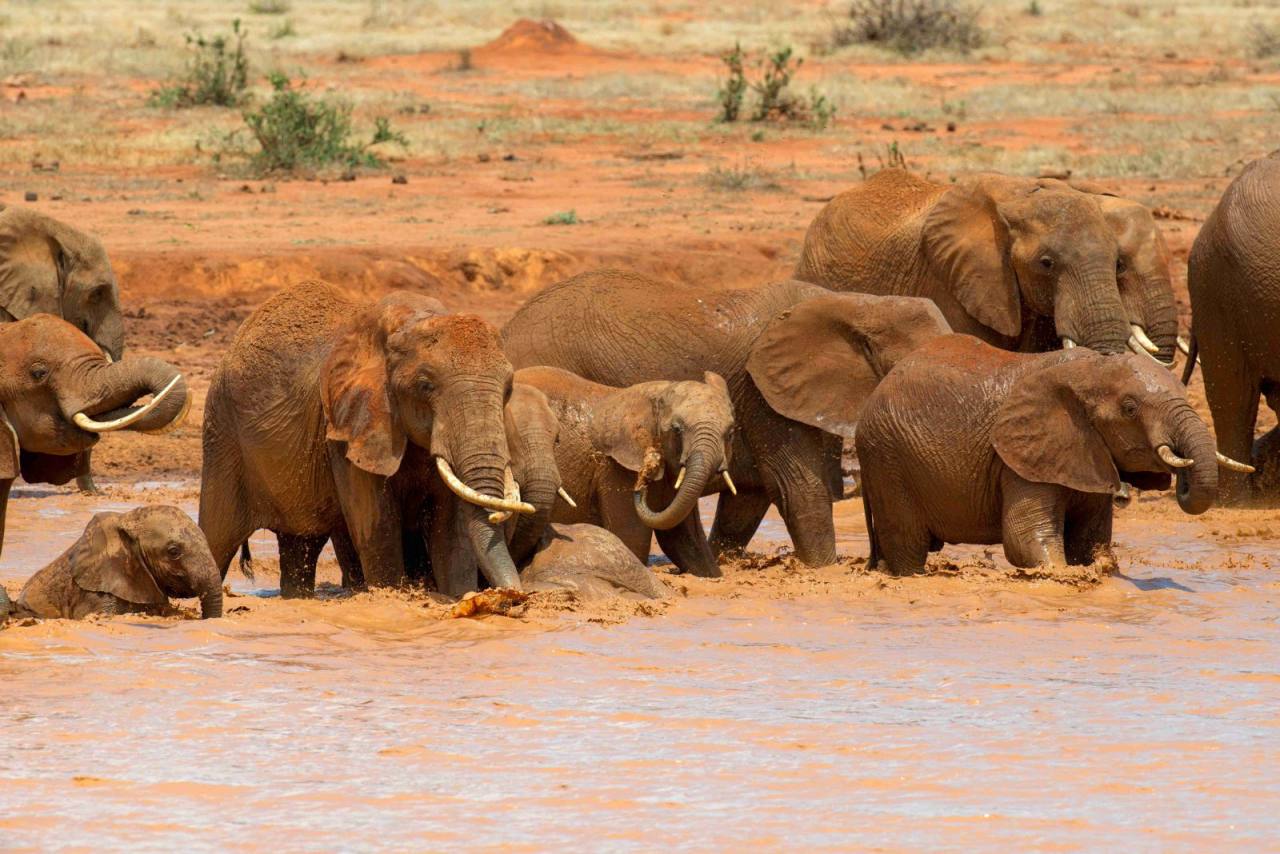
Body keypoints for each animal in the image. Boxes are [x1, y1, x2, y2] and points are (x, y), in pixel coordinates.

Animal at [199, 281, 534, 597]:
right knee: (216, 540)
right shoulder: (345, 427)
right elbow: (377, 527)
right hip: (222, 434)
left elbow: (450, 532)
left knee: (300, 544)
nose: (516, 593)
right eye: (425, 385)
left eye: (507, 389)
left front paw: (460, 596)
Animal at [513, 365, 735, 577]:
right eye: (677, 429)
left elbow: (685, 540)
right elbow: (632, 539)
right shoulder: (616, 469)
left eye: (731, 433)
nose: (644, 479)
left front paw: (713, 574)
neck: (657, 394)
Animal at [855, 335, 1229, 575]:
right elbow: (1023, 541)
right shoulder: (1019, 458)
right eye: (1130, 408)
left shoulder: (1089, 454)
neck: (1090, 371)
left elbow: (1087, 542)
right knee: (908, 546)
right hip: (888, 459)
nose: (1183, 470)